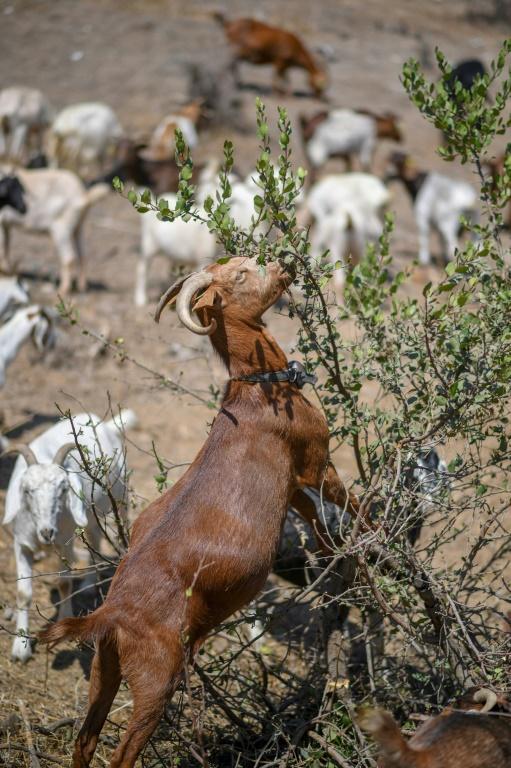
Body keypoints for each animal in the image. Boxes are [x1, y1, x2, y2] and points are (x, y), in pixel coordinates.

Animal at [2, 412, 138, 664]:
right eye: (27, 490)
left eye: (63, 489)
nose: (47, 532)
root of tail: (102, 423)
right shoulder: (21, 543)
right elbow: (24, 593)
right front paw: (20, 649)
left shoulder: (63, 542)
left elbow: (64, 583)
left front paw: (64, 622)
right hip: (90, 514)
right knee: (94, 538)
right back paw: (88, 584)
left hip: (120, 497)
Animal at [40, 258, 360, 768]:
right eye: (241, 275)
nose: (283, 262)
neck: (260, 390)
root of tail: (111, 617)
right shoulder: (315, 462)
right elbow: (352, 507)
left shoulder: (291, 487)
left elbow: (318, 523)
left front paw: (337, 561)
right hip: (156, 680)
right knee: (122, 753)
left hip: (104, 670)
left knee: (84, 740)